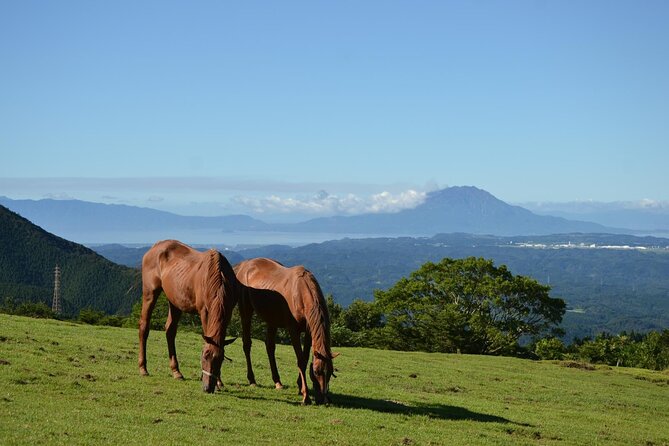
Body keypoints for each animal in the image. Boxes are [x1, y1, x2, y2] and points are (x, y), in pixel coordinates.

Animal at [137, 240, 239, 394]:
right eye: (204, 356)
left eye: (221, 359)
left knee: (170, 331)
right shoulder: (204, 312)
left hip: (174, 301)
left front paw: (219, 382)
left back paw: (176, 372)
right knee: (144, 326)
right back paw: (143, 368)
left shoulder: (227, 312)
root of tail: (155, 246)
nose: (208, 387)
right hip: (150, 293)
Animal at [235, 256, 340, 406]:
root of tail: (243, 265)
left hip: (271, 320)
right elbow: (300, 360)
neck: (300, 293)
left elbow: (305, 358)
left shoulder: (308, 332)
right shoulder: (293, 331)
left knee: (270, 347)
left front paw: (300, 387)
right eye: (316, 371)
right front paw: (305, 396)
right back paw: (252, 380)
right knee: (247, 344)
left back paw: (277, 382)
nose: (324, 400)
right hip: (246, 311)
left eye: (330, 372)